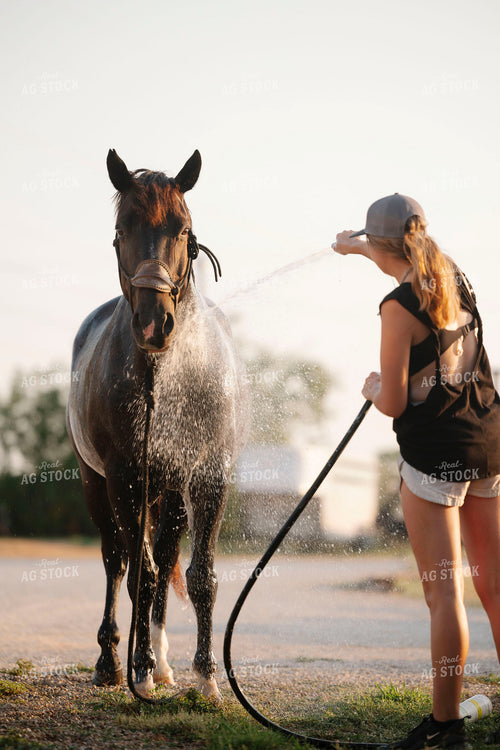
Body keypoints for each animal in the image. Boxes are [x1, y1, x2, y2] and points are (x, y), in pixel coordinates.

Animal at [67, 148, 247, 700]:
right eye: (121, 228)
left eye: (183, 228)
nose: (154, 323)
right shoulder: (125, 477)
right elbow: (140, 577)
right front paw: (140, 670)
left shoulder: (208, 475)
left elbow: (200, 575)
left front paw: (206, 677)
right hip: (97, 485)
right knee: (117, 561)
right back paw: (112, 661)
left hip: (167, 490)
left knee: (165, 558)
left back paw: (165, 662)